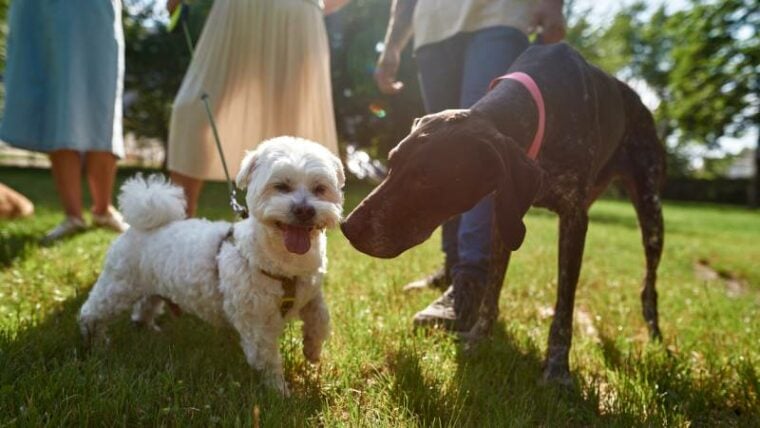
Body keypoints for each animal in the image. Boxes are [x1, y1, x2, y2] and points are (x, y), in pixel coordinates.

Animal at [78, 137, 346, 394]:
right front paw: (279, 392)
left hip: (152, 284)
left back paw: (147, 328)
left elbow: (320, 318)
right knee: (92, 312)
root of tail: (144, 226)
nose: (305, 210)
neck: (287, 265)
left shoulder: (310, 292)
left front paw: (312, 350)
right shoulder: (256, 321)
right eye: (281, 186)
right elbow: (267, 358)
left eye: (320, 188)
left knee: (146, 304)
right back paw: (94, 342)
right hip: (118, 286)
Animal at [340, 44, 664, 384]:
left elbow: (564, 307)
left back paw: (655, 337)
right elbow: (492, 288)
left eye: (426, 178)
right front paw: (478, 338)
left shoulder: (574, 220)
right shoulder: (504, 215)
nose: (348, 227)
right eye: (391, 163)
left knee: (649, 285)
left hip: (651, 214)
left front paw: (557, 368)